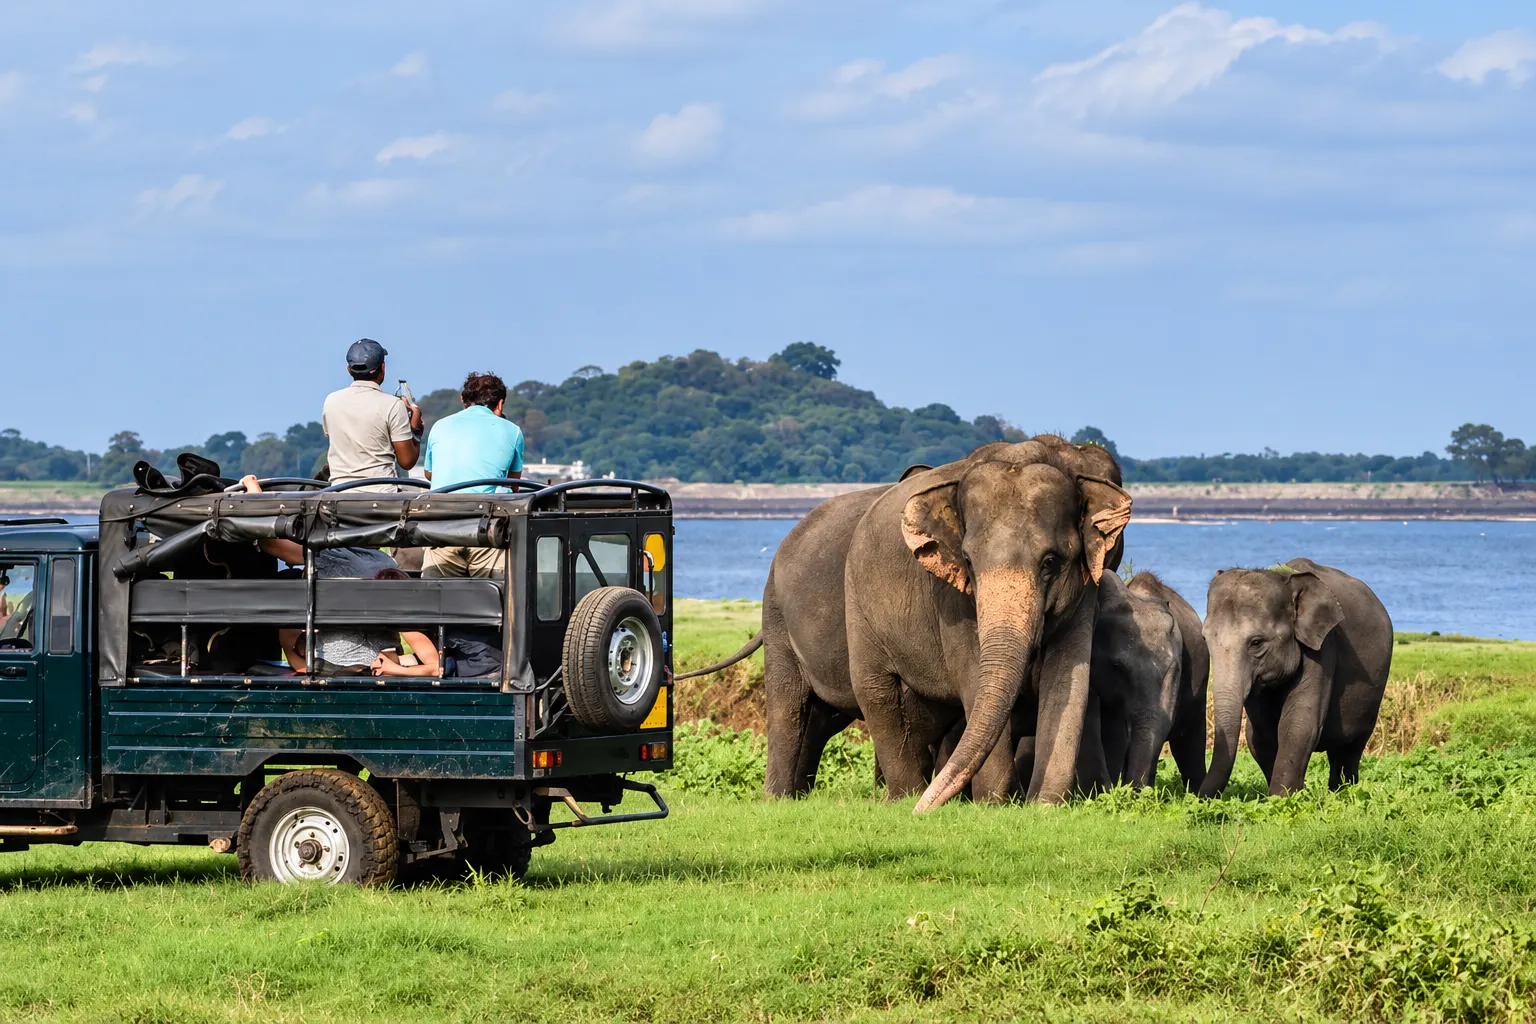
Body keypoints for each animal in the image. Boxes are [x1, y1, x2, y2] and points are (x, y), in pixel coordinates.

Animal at [1198, 558, 1392, 798]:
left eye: (1256, 643)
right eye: (1205, 639)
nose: (1197, 797)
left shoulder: (1323, 648)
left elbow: (1298, 724)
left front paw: (1282, 799)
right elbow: (1260, 734)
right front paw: (1285, 796)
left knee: (1349, 749)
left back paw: (1342, 792)